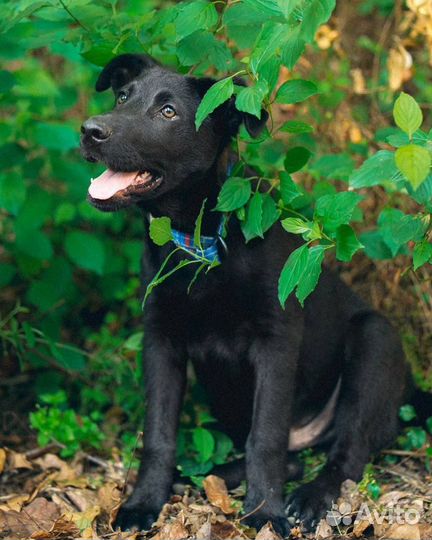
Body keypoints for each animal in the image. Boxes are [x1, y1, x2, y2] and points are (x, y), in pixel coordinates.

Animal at [82, 52, 412, 532]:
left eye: (168, 112)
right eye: (122, 96)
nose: (90, 130)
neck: (200, 244)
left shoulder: (275, 341)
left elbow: (266, 436)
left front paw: (266, 512)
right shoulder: (160, 338)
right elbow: (159, 433)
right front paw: (144, 501)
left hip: (376, 338)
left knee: (346, 457)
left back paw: (308, 498)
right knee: (293, 459)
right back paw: (205, 476)